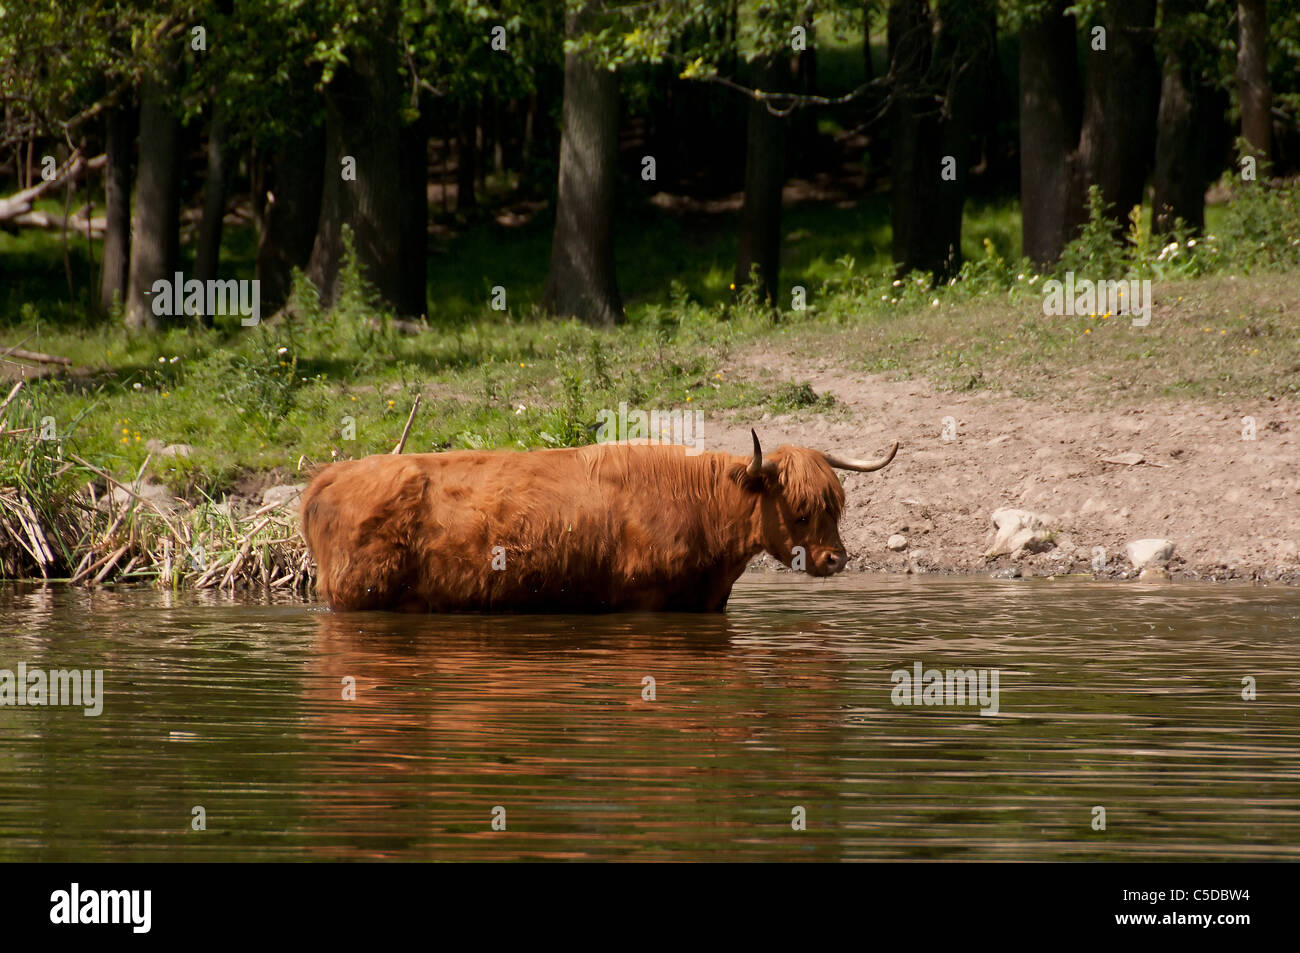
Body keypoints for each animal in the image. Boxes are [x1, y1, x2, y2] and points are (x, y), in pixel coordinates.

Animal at [300, 430, 899, 613]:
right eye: (801, 510)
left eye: (836, 506)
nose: (835, 559)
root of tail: (328, 478)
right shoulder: (644, 600)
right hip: (355, 595)